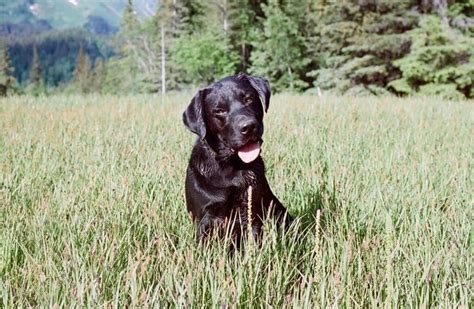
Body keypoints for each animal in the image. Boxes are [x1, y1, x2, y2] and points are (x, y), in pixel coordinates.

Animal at [182, 72, 290, 243]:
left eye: (248, 99)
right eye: (219, 110)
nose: (248, 126)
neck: (232, 166)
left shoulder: (252, 213)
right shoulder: (204, 219)